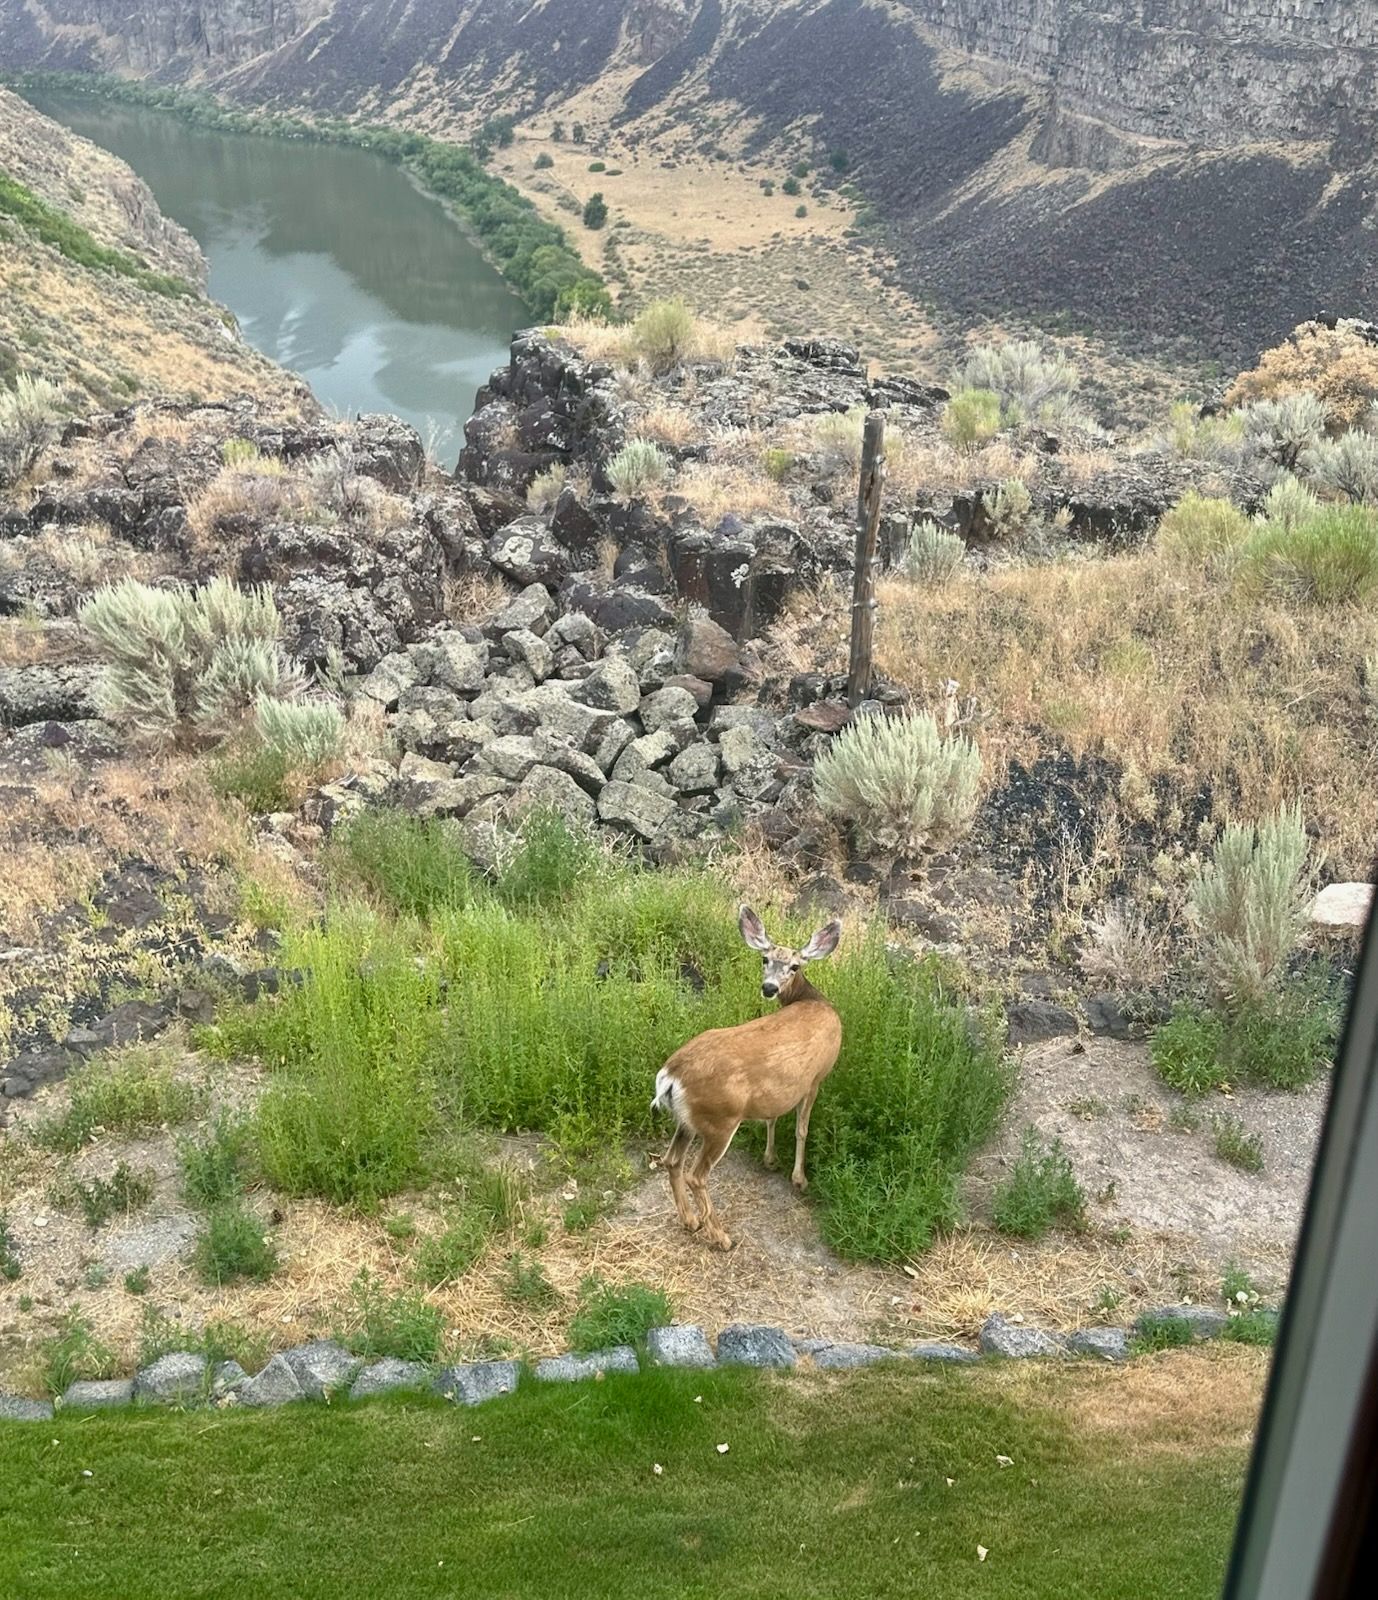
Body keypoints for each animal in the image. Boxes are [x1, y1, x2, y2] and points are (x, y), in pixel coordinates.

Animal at [650, 905, 843, 1250]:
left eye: (794, 965)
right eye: (764, 959)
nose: (769, 988)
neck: (812, 999)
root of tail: (671, 1076)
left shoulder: (779, 1090)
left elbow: (772, 1119)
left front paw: (770, 1159)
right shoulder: (814, 1080)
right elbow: (802, 1130)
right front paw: (799, 1179)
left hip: (687, 1121)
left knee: (672, 1161)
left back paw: (690, 1221)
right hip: (720, 1121)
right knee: (696, 1175)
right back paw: (721, 1236)